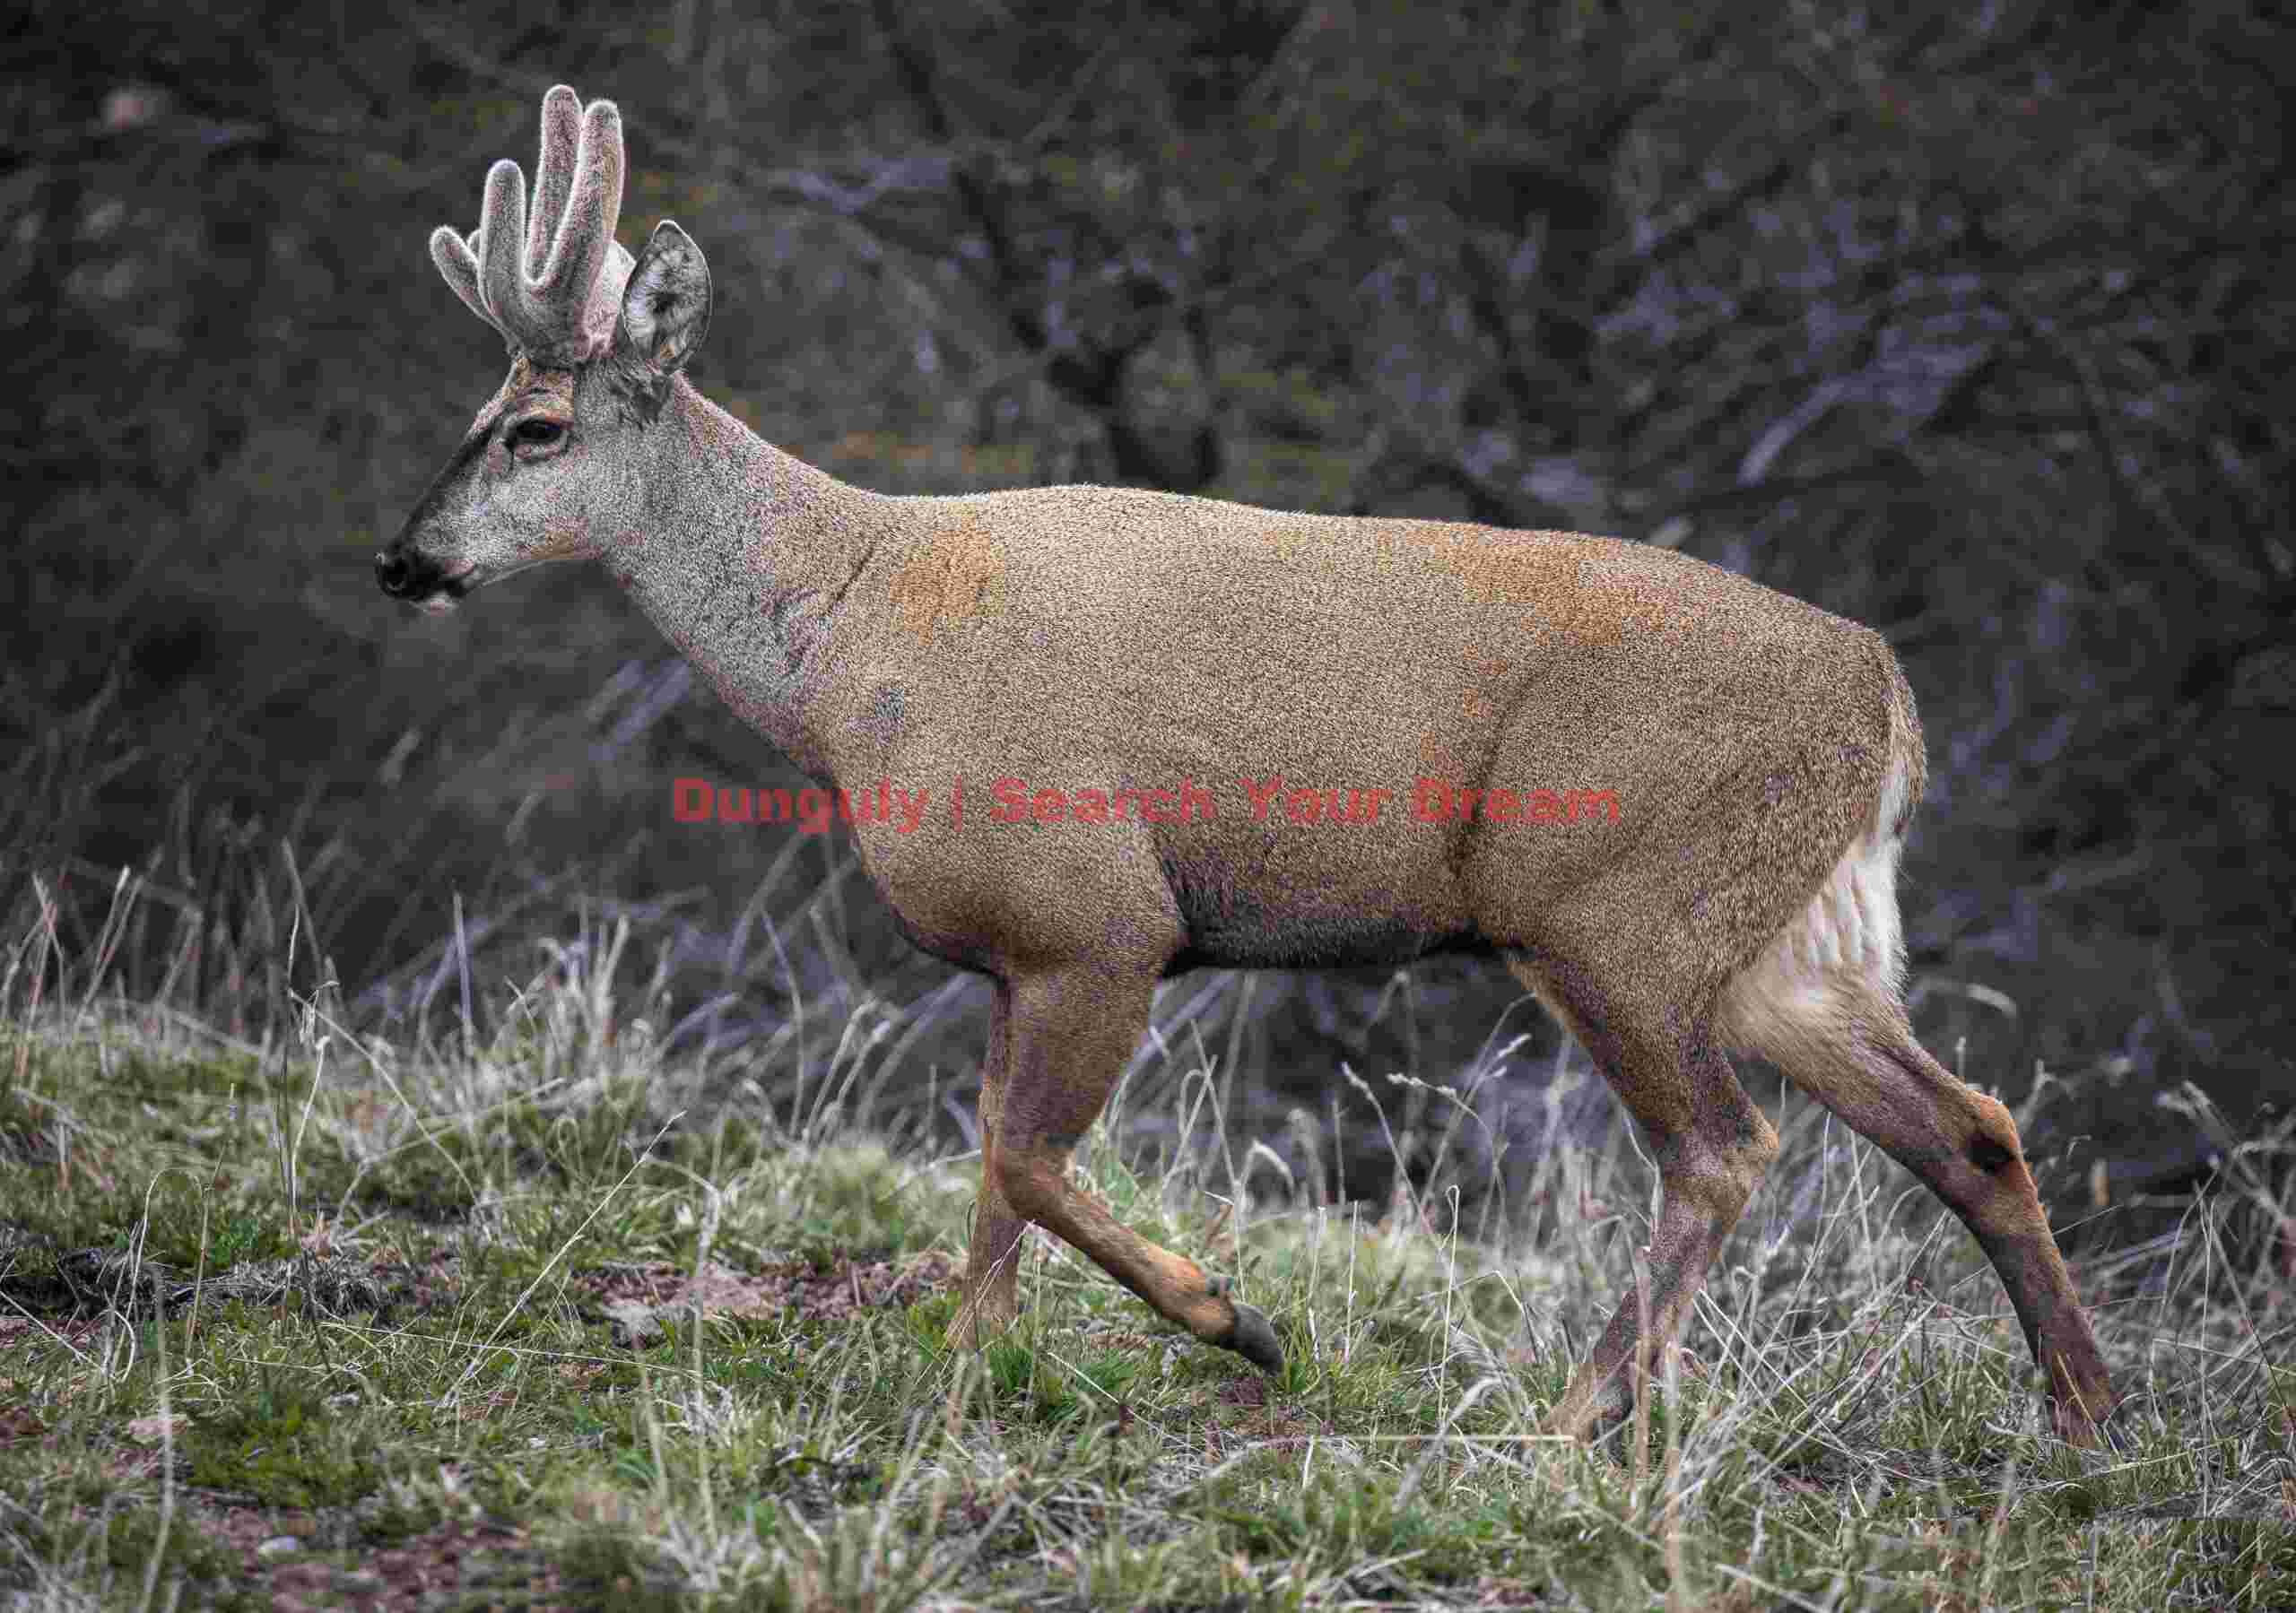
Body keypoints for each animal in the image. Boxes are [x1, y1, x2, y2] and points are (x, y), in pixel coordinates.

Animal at [376, 86, 2120, 1449]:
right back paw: (2087, 1413)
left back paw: (1573, 1420)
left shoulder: (1098, 910)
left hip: (1614, 904)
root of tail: (1886, 695)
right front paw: (966, 1376)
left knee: (1723, 1150)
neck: (853, 632)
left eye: (535, 428)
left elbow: (1026, 1158)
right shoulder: (1013, 953)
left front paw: (1238, 1320)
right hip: (1777, 941)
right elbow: (990, 1179)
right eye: (477, 409)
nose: (401, 559)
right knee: (1970, 1123)